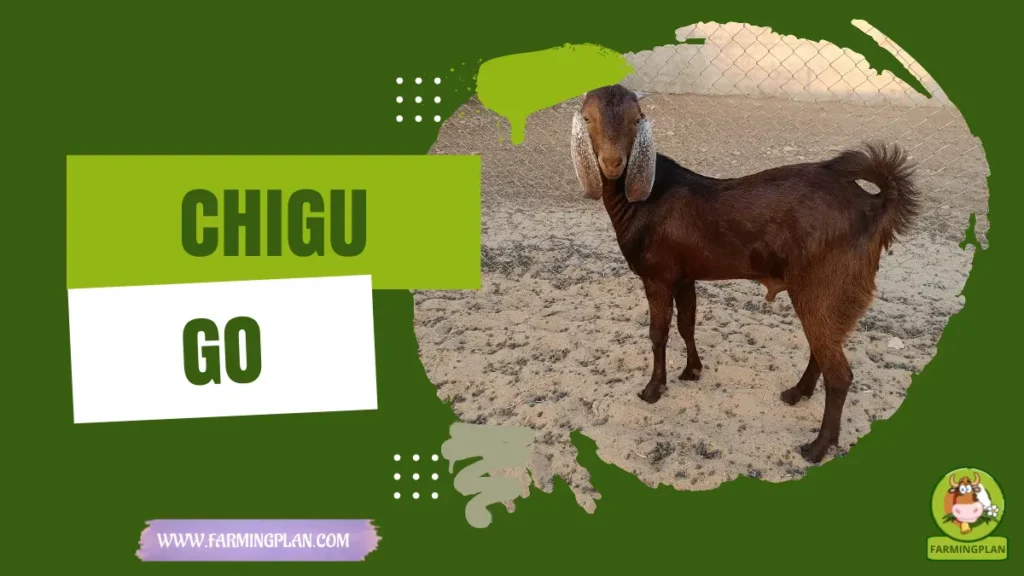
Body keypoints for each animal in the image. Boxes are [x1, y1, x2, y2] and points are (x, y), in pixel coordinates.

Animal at [569, 84, 921, 463]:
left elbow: (658, 333)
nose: (612, 163)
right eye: (588, 118)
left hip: (825, 285)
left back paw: (817, 447)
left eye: (637, 120)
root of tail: (874, 206)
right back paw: (796, 393)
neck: (644, 200)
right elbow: (687, 324)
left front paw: (652, 389)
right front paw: (692, 371)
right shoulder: (684, 276)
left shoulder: (658, 276)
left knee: (839, 372)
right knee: (824, 345)